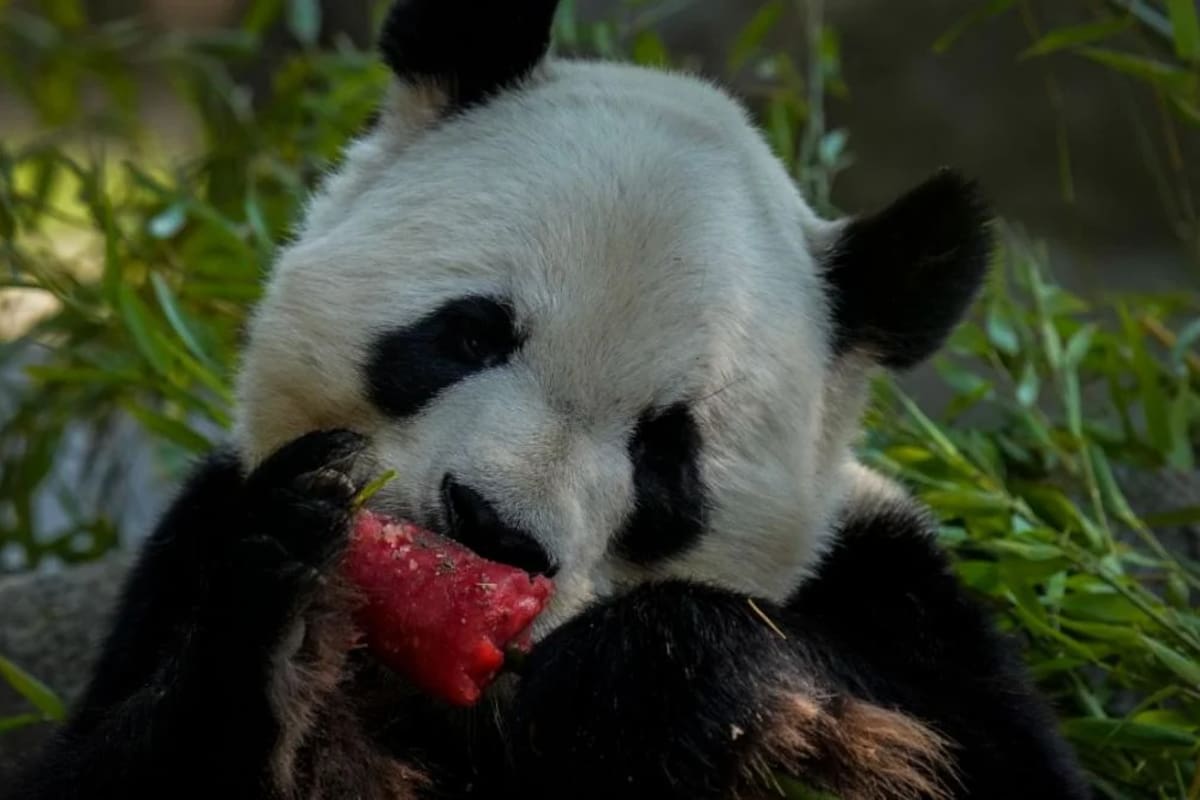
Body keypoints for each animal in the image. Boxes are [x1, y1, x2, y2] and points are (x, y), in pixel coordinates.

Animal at [11, 1, 1093, 799]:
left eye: (666, 451)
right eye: (470, 335)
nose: (493, 527)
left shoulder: (899, 600)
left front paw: (664, 679)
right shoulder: (187, 548)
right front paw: (287, 605)